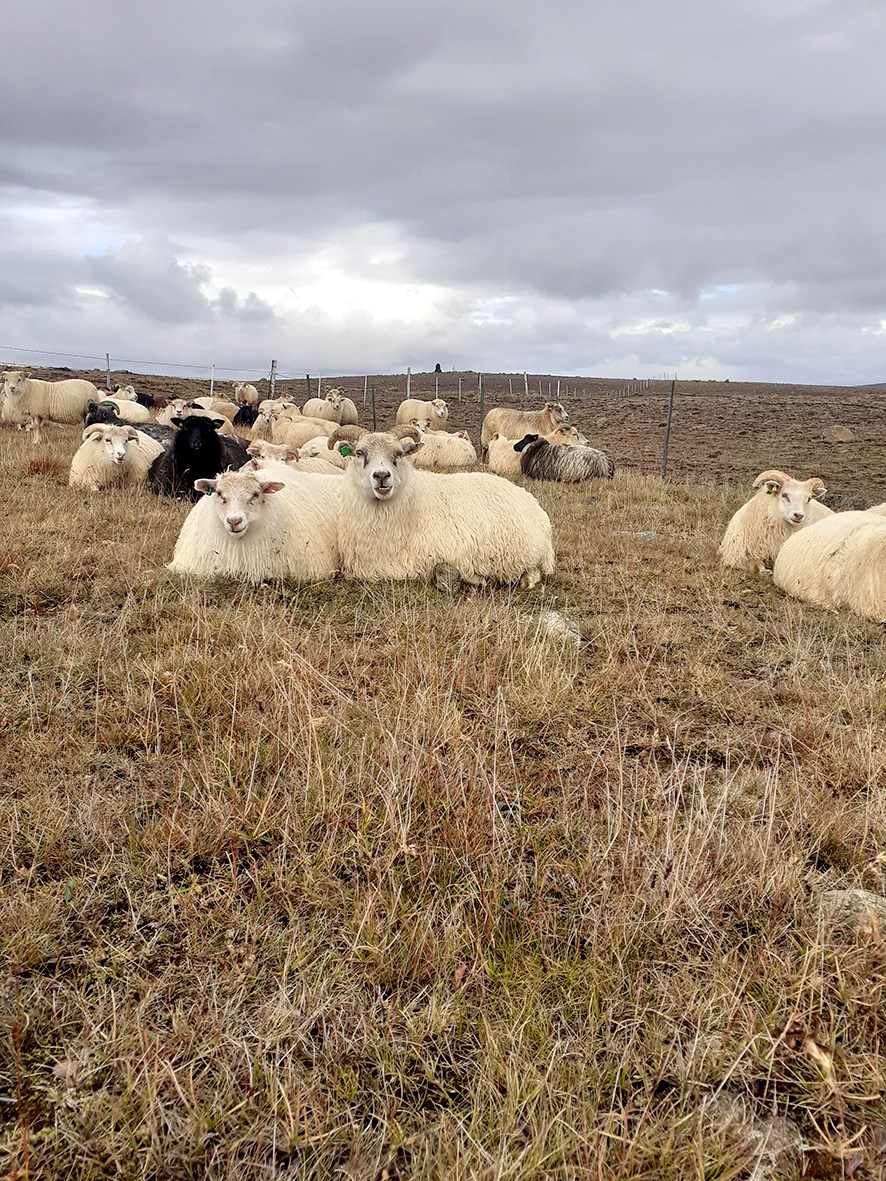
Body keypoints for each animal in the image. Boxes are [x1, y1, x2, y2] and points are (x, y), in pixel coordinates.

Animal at [335, 427, 555, 588]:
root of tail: (533, 503)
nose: (382, 476)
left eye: (399, 454)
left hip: (527, 554)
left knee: (532, 576)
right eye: (359, 453)